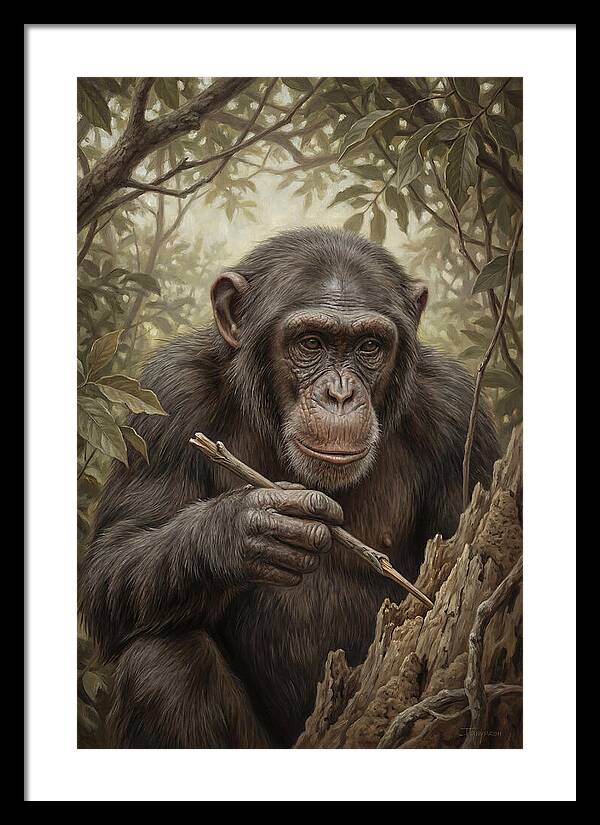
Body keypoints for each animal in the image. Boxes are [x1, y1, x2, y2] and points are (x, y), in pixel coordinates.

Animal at [79, 227, 499, 748]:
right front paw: (246, 530)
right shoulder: (167, 395)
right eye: (310, 343)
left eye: (369, 346)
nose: (339, 394)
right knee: (161, 661)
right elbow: (111, 562)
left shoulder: (460, 416)